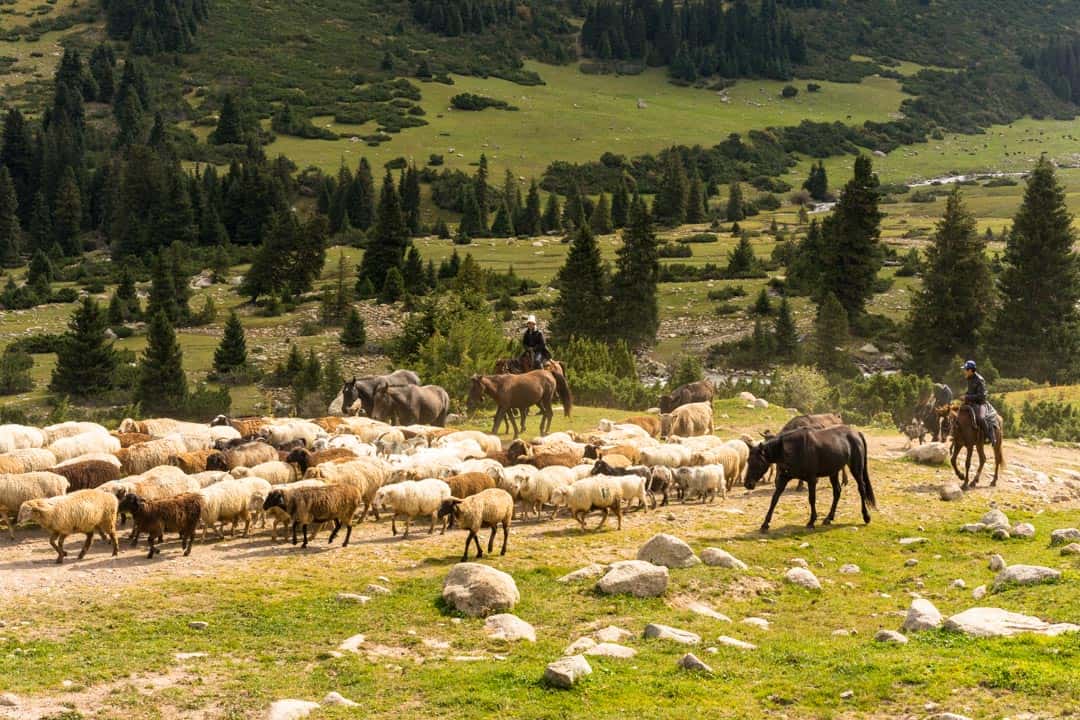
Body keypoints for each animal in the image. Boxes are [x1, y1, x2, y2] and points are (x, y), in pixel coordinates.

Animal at [743, 427, 876, 535]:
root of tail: (856, 433)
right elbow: (774, 500)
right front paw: (765, 524)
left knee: (861, 489)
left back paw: (866, 516)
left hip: (856, 469)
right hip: (833, 472)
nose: (748, 484)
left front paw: (811, 521)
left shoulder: (812, 479)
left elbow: (811, 499)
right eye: (748, 460)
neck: (792, 449)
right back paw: (829, 518)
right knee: (837, 492)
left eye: (758, 462)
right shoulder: (783, 479)